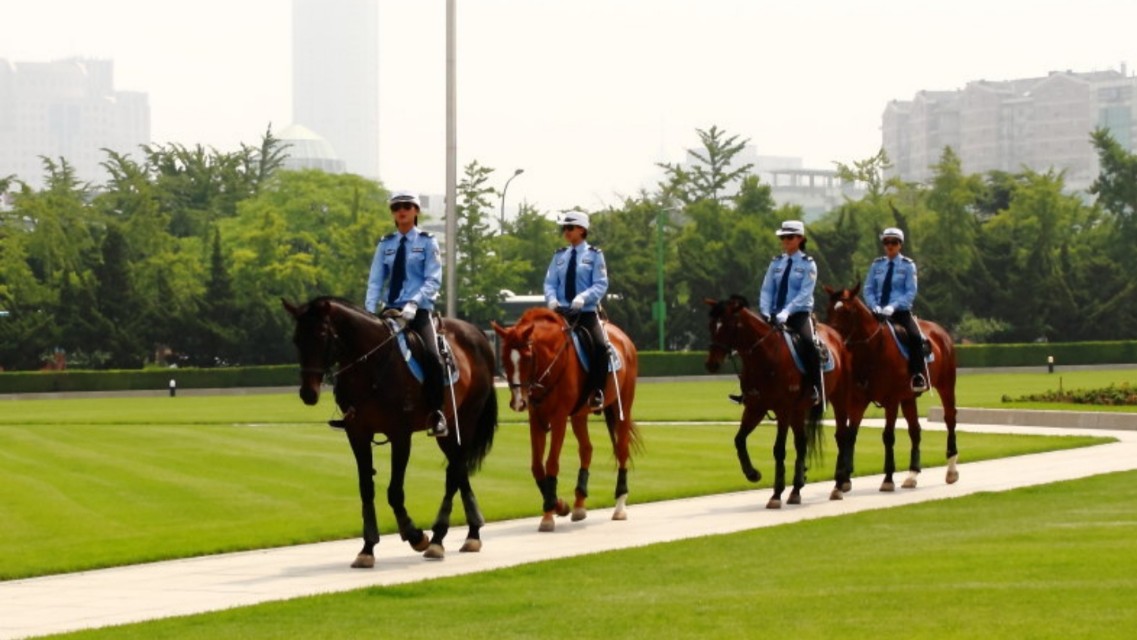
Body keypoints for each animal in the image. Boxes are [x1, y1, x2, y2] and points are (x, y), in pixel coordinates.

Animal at [281, 297, 495, 568]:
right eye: (297, 339)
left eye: (321, 335)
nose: (308, 393)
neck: (371, 365)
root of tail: (476, 332)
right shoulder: (357, 433)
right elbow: (366, 488)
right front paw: (367, 547)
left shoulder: (400, 435)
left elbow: (394, 491)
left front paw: (415, 535)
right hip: (449, 431)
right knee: (459, 470)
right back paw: (471, 533)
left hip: (465, 421)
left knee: (454, 473)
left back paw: (438, 538)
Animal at [491, 306, 641, 534]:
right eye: (504, 358)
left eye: (527, 357)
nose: (518, 402)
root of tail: (624, 338)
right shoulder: (537, 420)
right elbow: (537, 466)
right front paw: (558, 505)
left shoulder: (559, 418)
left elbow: (551, 463)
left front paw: (548, 515)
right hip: (579, 415)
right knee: (586, 449)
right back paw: (579, 504)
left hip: (622, 405)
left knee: (622, 450)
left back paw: (620, 506)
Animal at [700, 297, 855, 509]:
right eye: (711, 326)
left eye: (728, 326)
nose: (711, 364)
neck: (765, 356)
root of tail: (837, 337)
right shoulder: (755, 408)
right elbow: (739, 440)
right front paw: (752, 474)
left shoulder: (783, 410)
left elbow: (779, 449)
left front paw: (776, 494)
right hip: (799, 410)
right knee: (801, 443)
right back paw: (796, 489)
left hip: (838, 398)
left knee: (840, 436)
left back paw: (839, 485)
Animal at [827, 285, 959, 491]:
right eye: (828, 309)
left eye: (847, 311)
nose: (831, 337)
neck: (872, 351)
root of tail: (941, 332)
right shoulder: (858, 401)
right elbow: (850, 435)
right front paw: (846, 478)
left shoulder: (891, 401)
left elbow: (888, 436)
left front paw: (888, 478)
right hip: (908, 398)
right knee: (915, 430)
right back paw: (912, 474)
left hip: (946, 385)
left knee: (950, 418)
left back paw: (951, 469)